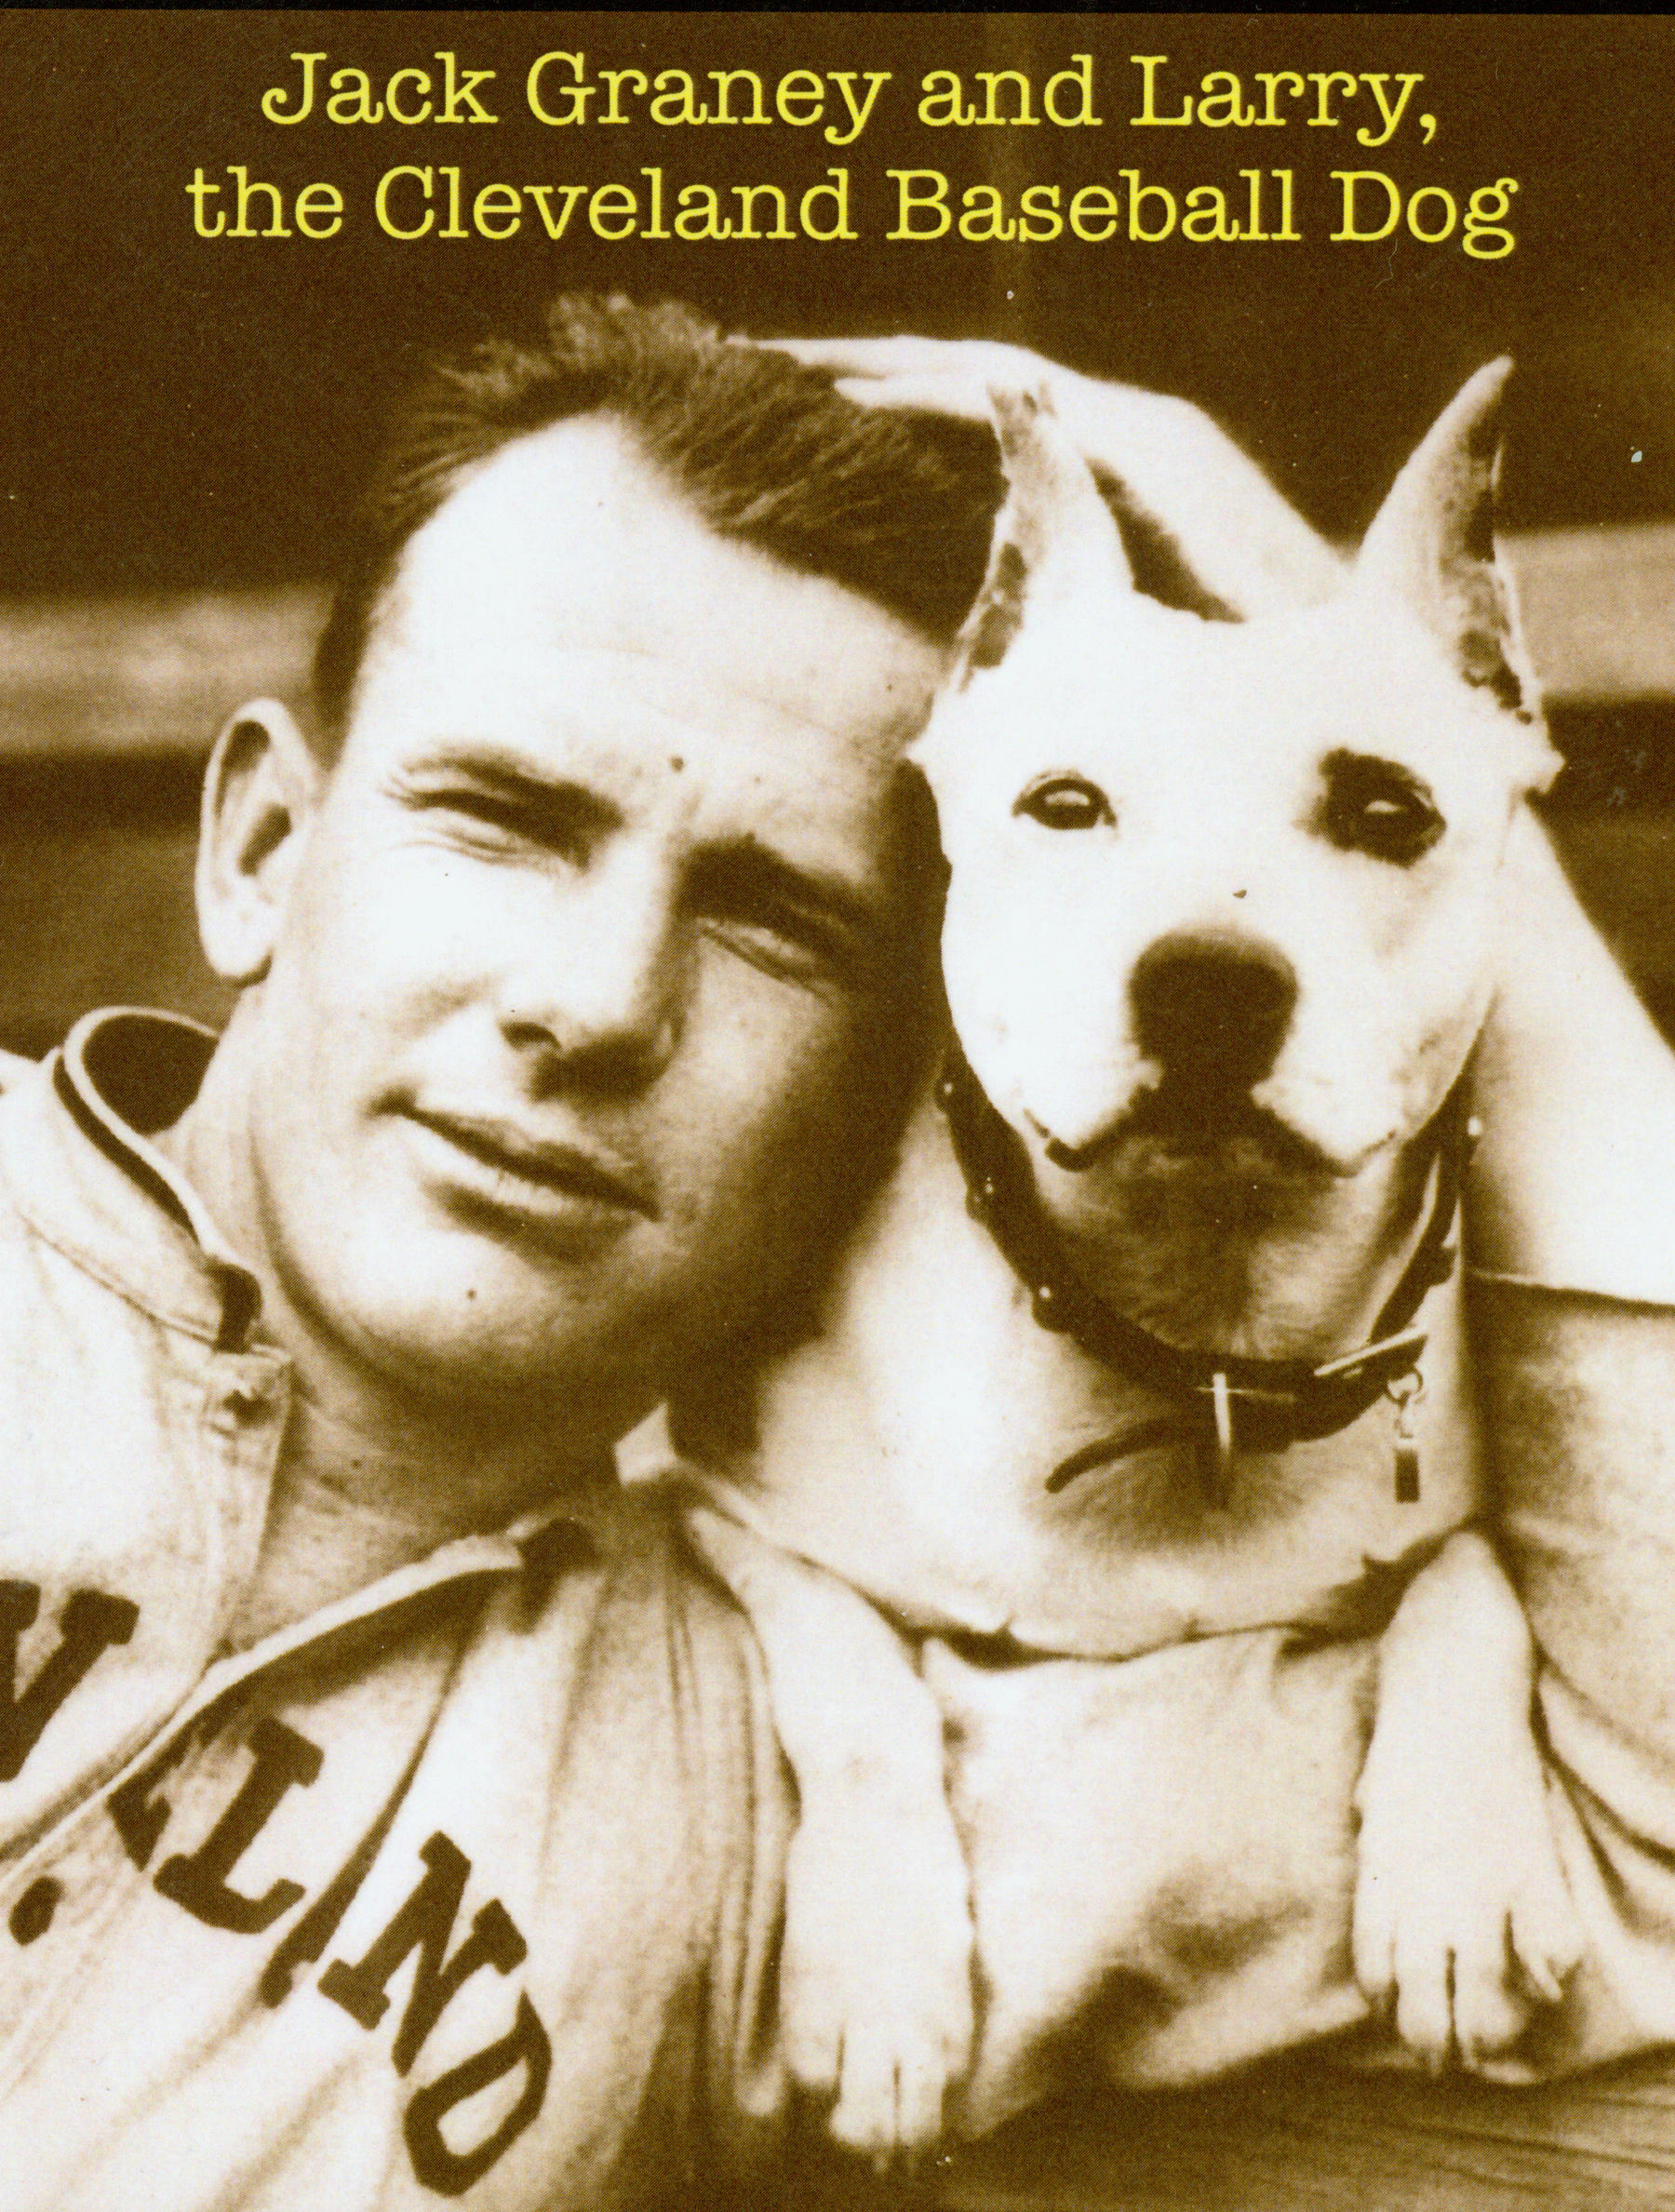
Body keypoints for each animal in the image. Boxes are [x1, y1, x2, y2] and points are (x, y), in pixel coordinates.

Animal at [663, 362, 1584, 2159]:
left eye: (1390, 811)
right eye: (1064, 804)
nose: (1209, 981)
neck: (1195, 1339)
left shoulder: (1444, 1487)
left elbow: (1469, 1586)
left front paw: (1456, 1871)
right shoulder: (718, 1509)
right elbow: (850, 1670)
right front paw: (881, 1974)